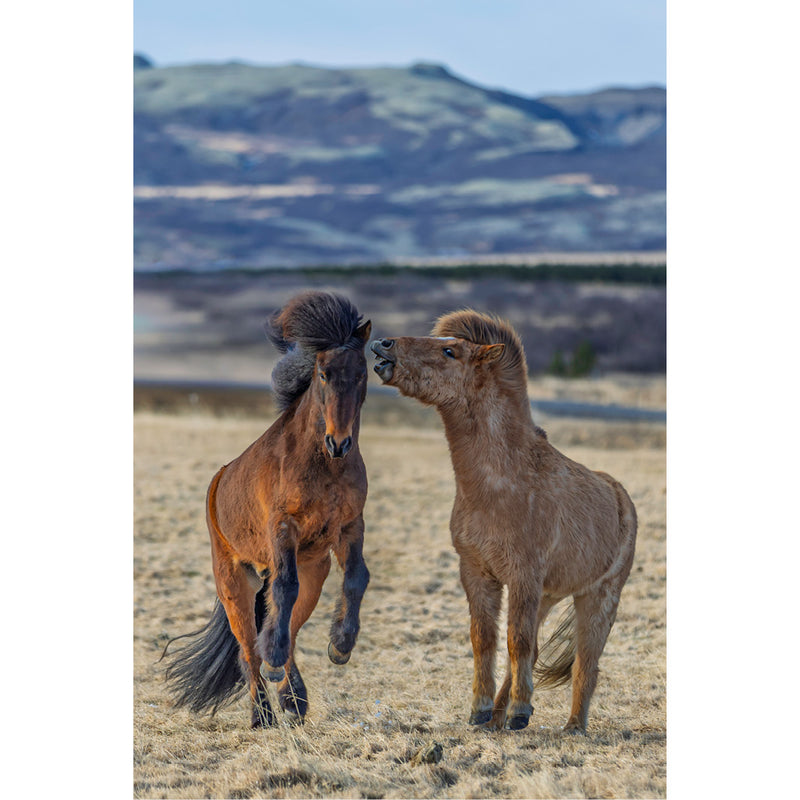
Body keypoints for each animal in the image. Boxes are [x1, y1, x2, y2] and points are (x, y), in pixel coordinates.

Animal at [162, 291, 372, 728]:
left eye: (362, 373)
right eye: (323, 373)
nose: (339, 442)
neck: (323, 464)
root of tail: (218, 480)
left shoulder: (350, 526)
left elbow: (357, 577)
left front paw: (341, 646)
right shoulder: (283, 528)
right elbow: (283, 586)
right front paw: (276, 661)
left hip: (314, 573)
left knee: (290, 627)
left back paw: (293, 702)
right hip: (233, 584)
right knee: (248, 649)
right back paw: (263, 712)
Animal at [370, 310, 637, 734]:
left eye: (450, 351)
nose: (382, 345)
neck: (501, 486)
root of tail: (618, 494)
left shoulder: (524, 576)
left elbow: (517, 642)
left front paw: (520, 711)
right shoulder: (478, 574)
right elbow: (487, 640)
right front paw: (481, 711)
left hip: (598, 597)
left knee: (586, 661)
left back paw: (572, 726)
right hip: (548, 595)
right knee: (535, 648)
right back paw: (498, 717)